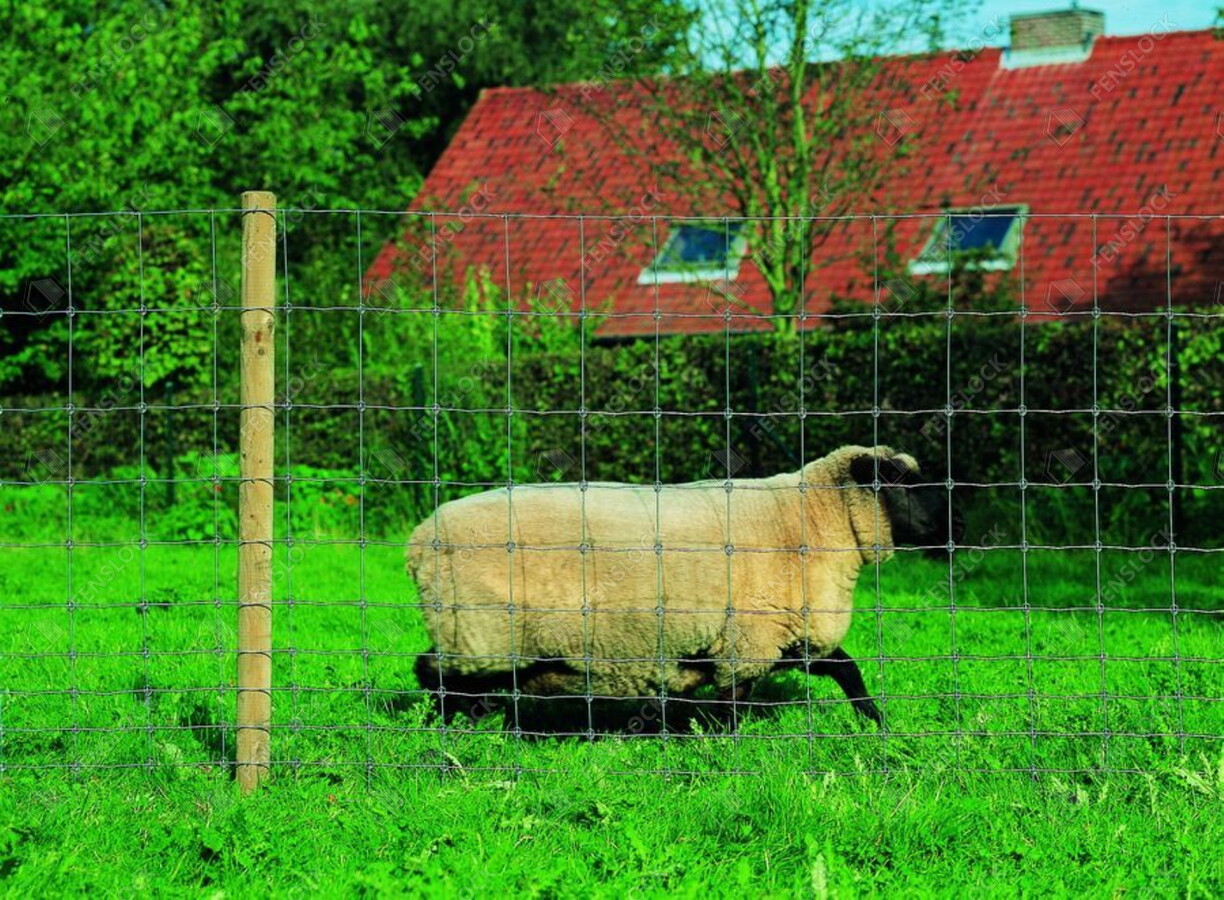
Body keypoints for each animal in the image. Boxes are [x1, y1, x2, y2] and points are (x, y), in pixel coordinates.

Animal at [408, 444, 960, 727]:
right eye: (903, 485)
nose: (954, 526)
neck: (813, 520)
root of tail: (419, 542)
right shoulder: (749, 638)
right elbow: (735, 701)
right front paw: (727, 747)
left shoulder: (785, 634)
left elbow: (848, 670)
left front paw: (875, 723)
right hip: (480, 633)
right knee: (436, 675)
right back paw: (450, 728)